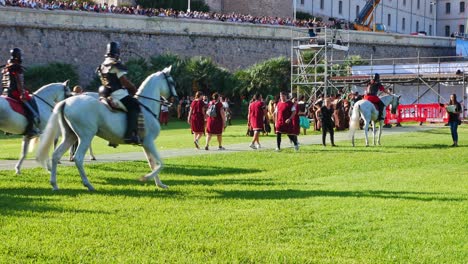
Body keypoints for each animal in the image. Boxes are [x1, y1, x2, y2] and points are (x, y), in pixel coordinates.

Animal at [36, 67, 177, 191]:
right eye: (171, 82)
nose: (174, 99)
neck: (146, 108)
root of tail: (66, 102)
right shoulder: (149, 142)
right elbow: (160, 163)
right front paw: (146, 178)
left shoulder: (145, 144)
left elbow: (152, 163)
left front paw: (159, 184)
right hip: (85, 137)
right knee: (78, 158)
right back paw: (88, 184)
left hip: (71, 136)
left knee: (56, 155)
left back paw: (54, 184)